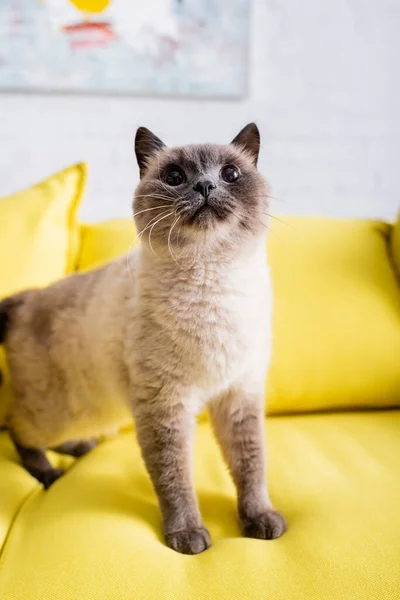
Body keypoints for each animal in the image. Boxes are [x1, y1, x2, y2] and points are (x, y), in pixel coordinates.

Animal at [0, 124, 288, 556]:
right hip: (62, 408)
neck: (213, 281)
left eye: (230, 174)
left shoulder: (238, 396)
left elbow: (251, 468)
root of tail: (26, 296)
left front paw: (260, 521)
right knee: (17, 427)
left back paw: (78, 450)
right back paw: (50, 474)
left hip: (94, 411)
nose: (205, 186)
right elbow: (176, 480)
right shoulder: (166, 405)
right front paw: (187, 537)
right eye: (175, 177)